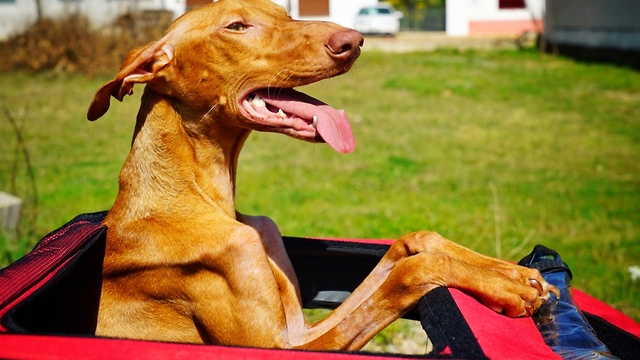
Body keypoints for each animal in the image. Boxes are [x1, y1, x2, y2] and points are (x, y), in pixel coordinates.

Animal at [87, 0, 556, 350]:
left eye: (283, 11)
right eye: (237, 26)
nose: (354, 41)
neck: (201, 192)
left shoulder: (298, 330)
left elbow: (415, 242)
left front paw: (511, 273)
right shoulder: (279, 347)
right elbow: (413, 271)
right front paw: (509, 287)